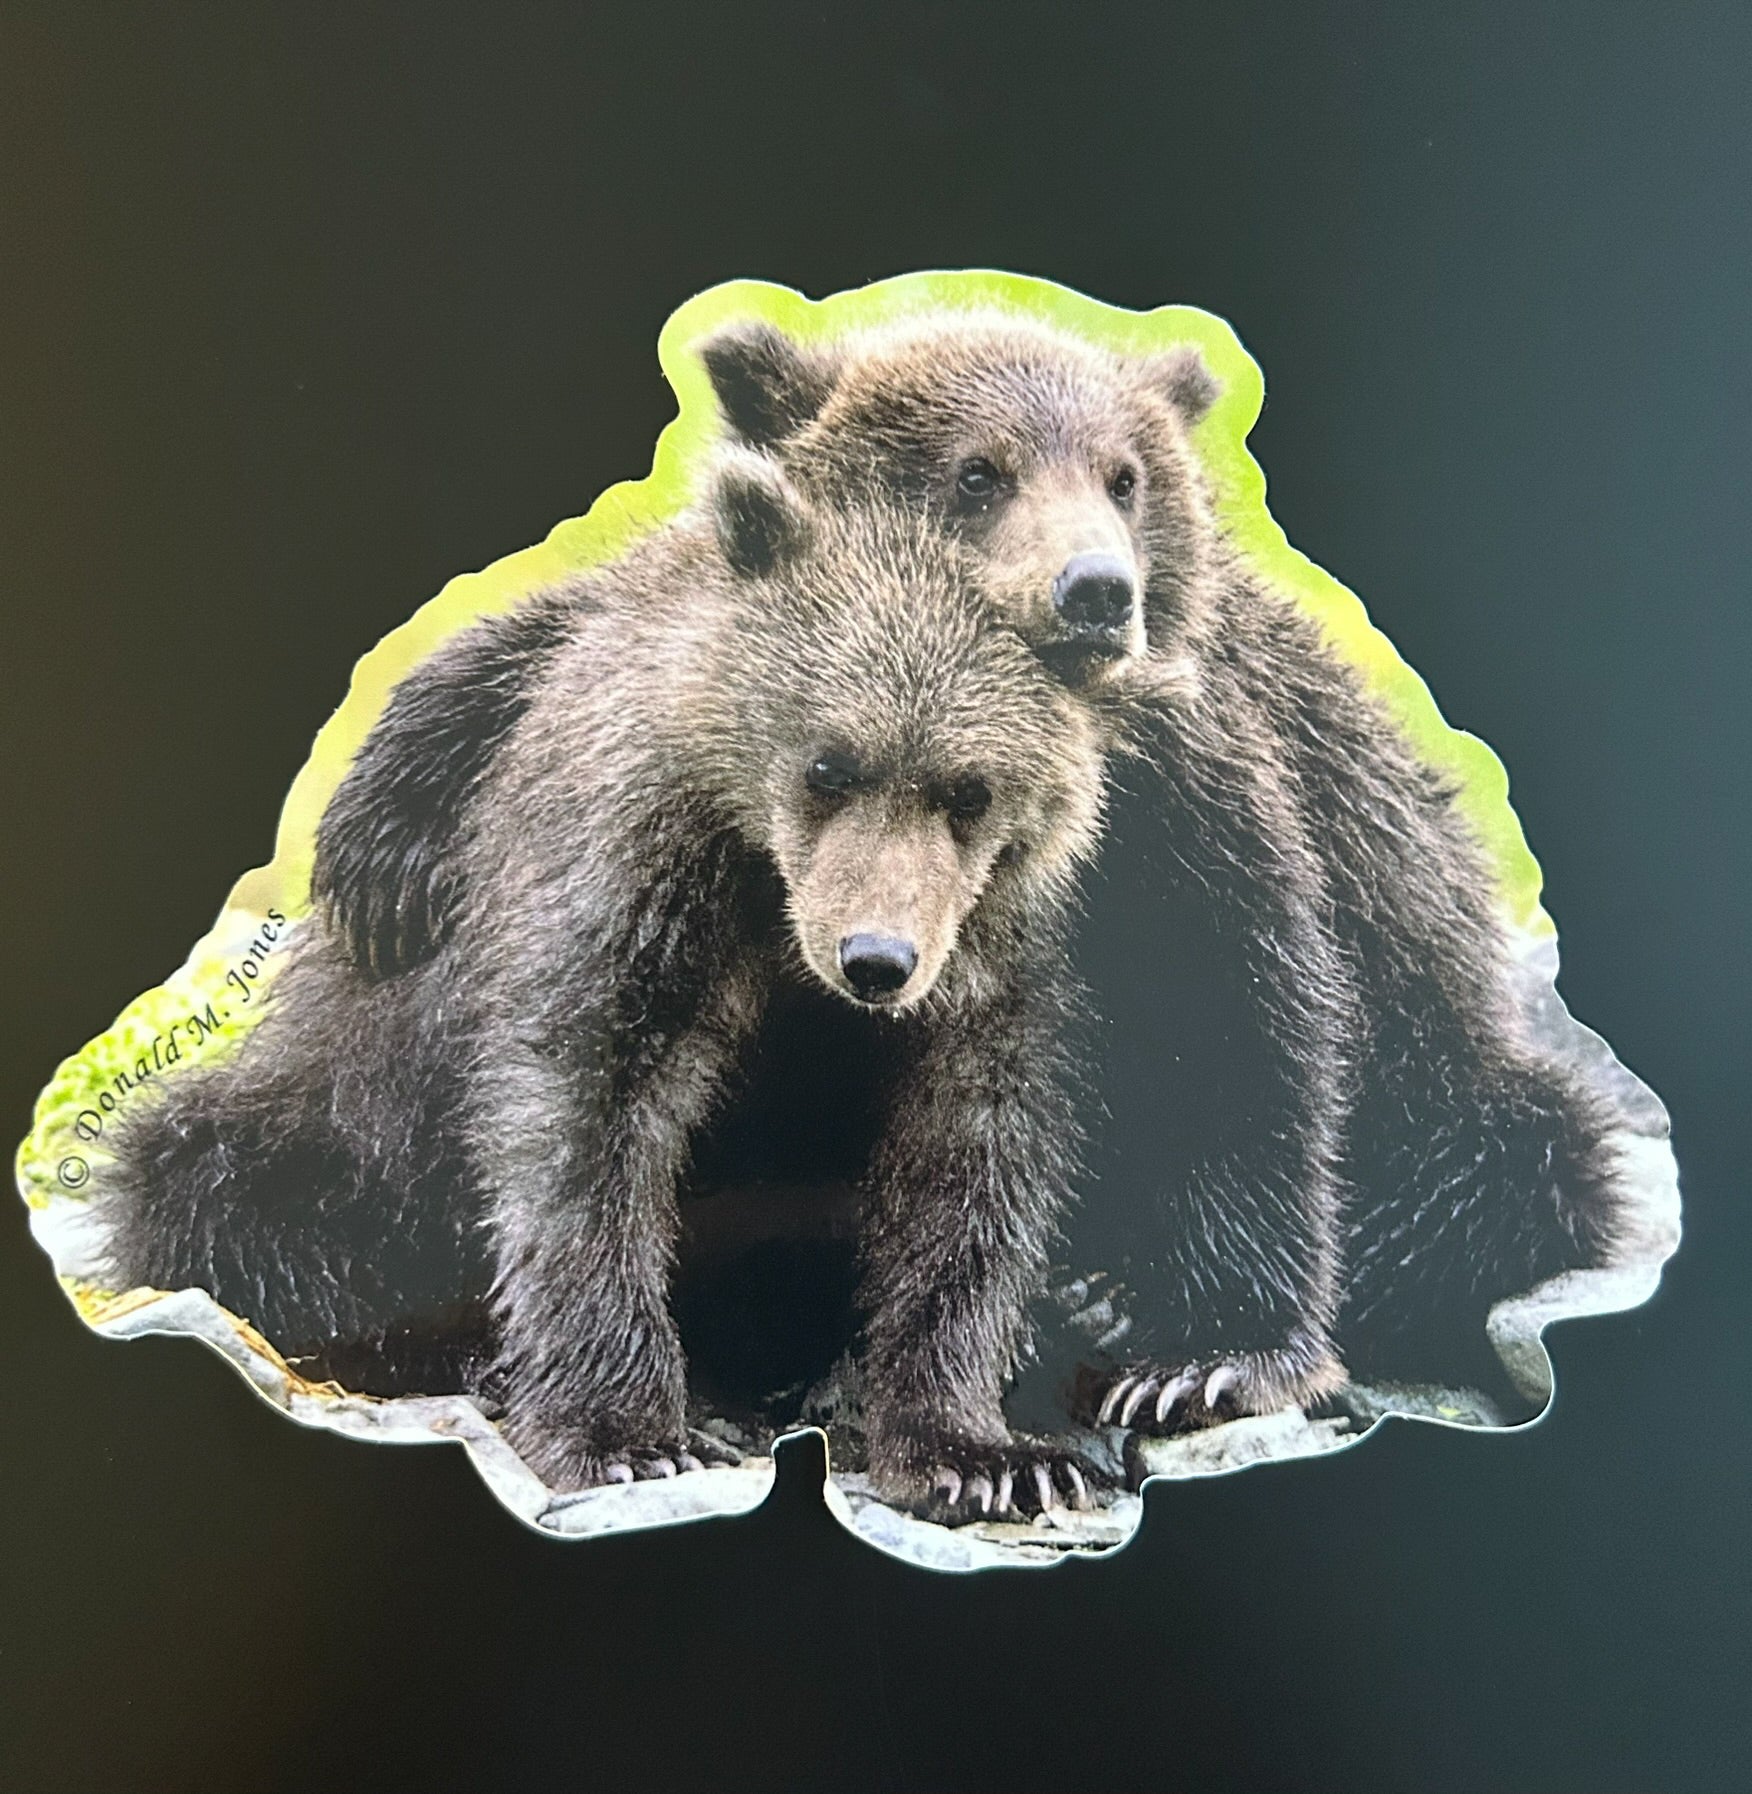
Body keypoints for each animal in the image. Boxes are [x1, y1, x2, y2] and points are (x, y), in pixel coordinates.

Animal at [104, 454, 1126, 1519]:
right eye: (828, 765)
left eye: (970, 791)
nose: (875, 960)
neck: (767, 894)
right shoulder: (631, 879)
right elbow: (588, 1119)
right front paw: (622, 1431)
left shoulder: (994, 959)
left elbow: (970, 1167)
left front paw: (982, 1449)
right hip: (339, 1107)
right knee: (217, 1187)